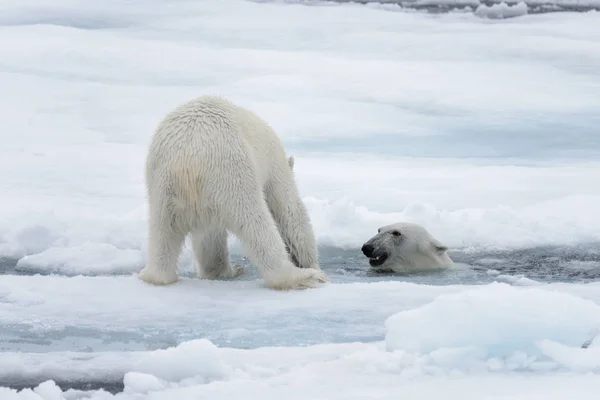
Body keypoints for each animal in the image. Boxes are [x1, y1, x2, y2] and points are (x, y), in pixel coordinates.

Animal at [138, 97, 328, 290]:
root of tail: (187, 162)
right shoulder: (275, 167)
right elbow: (291, 212)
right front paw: (313, 265)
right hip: (233, 174)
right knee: (256, 222)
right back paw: (304, 276)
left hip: (163, 189)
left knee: (165, 235)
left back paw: (159, 275)